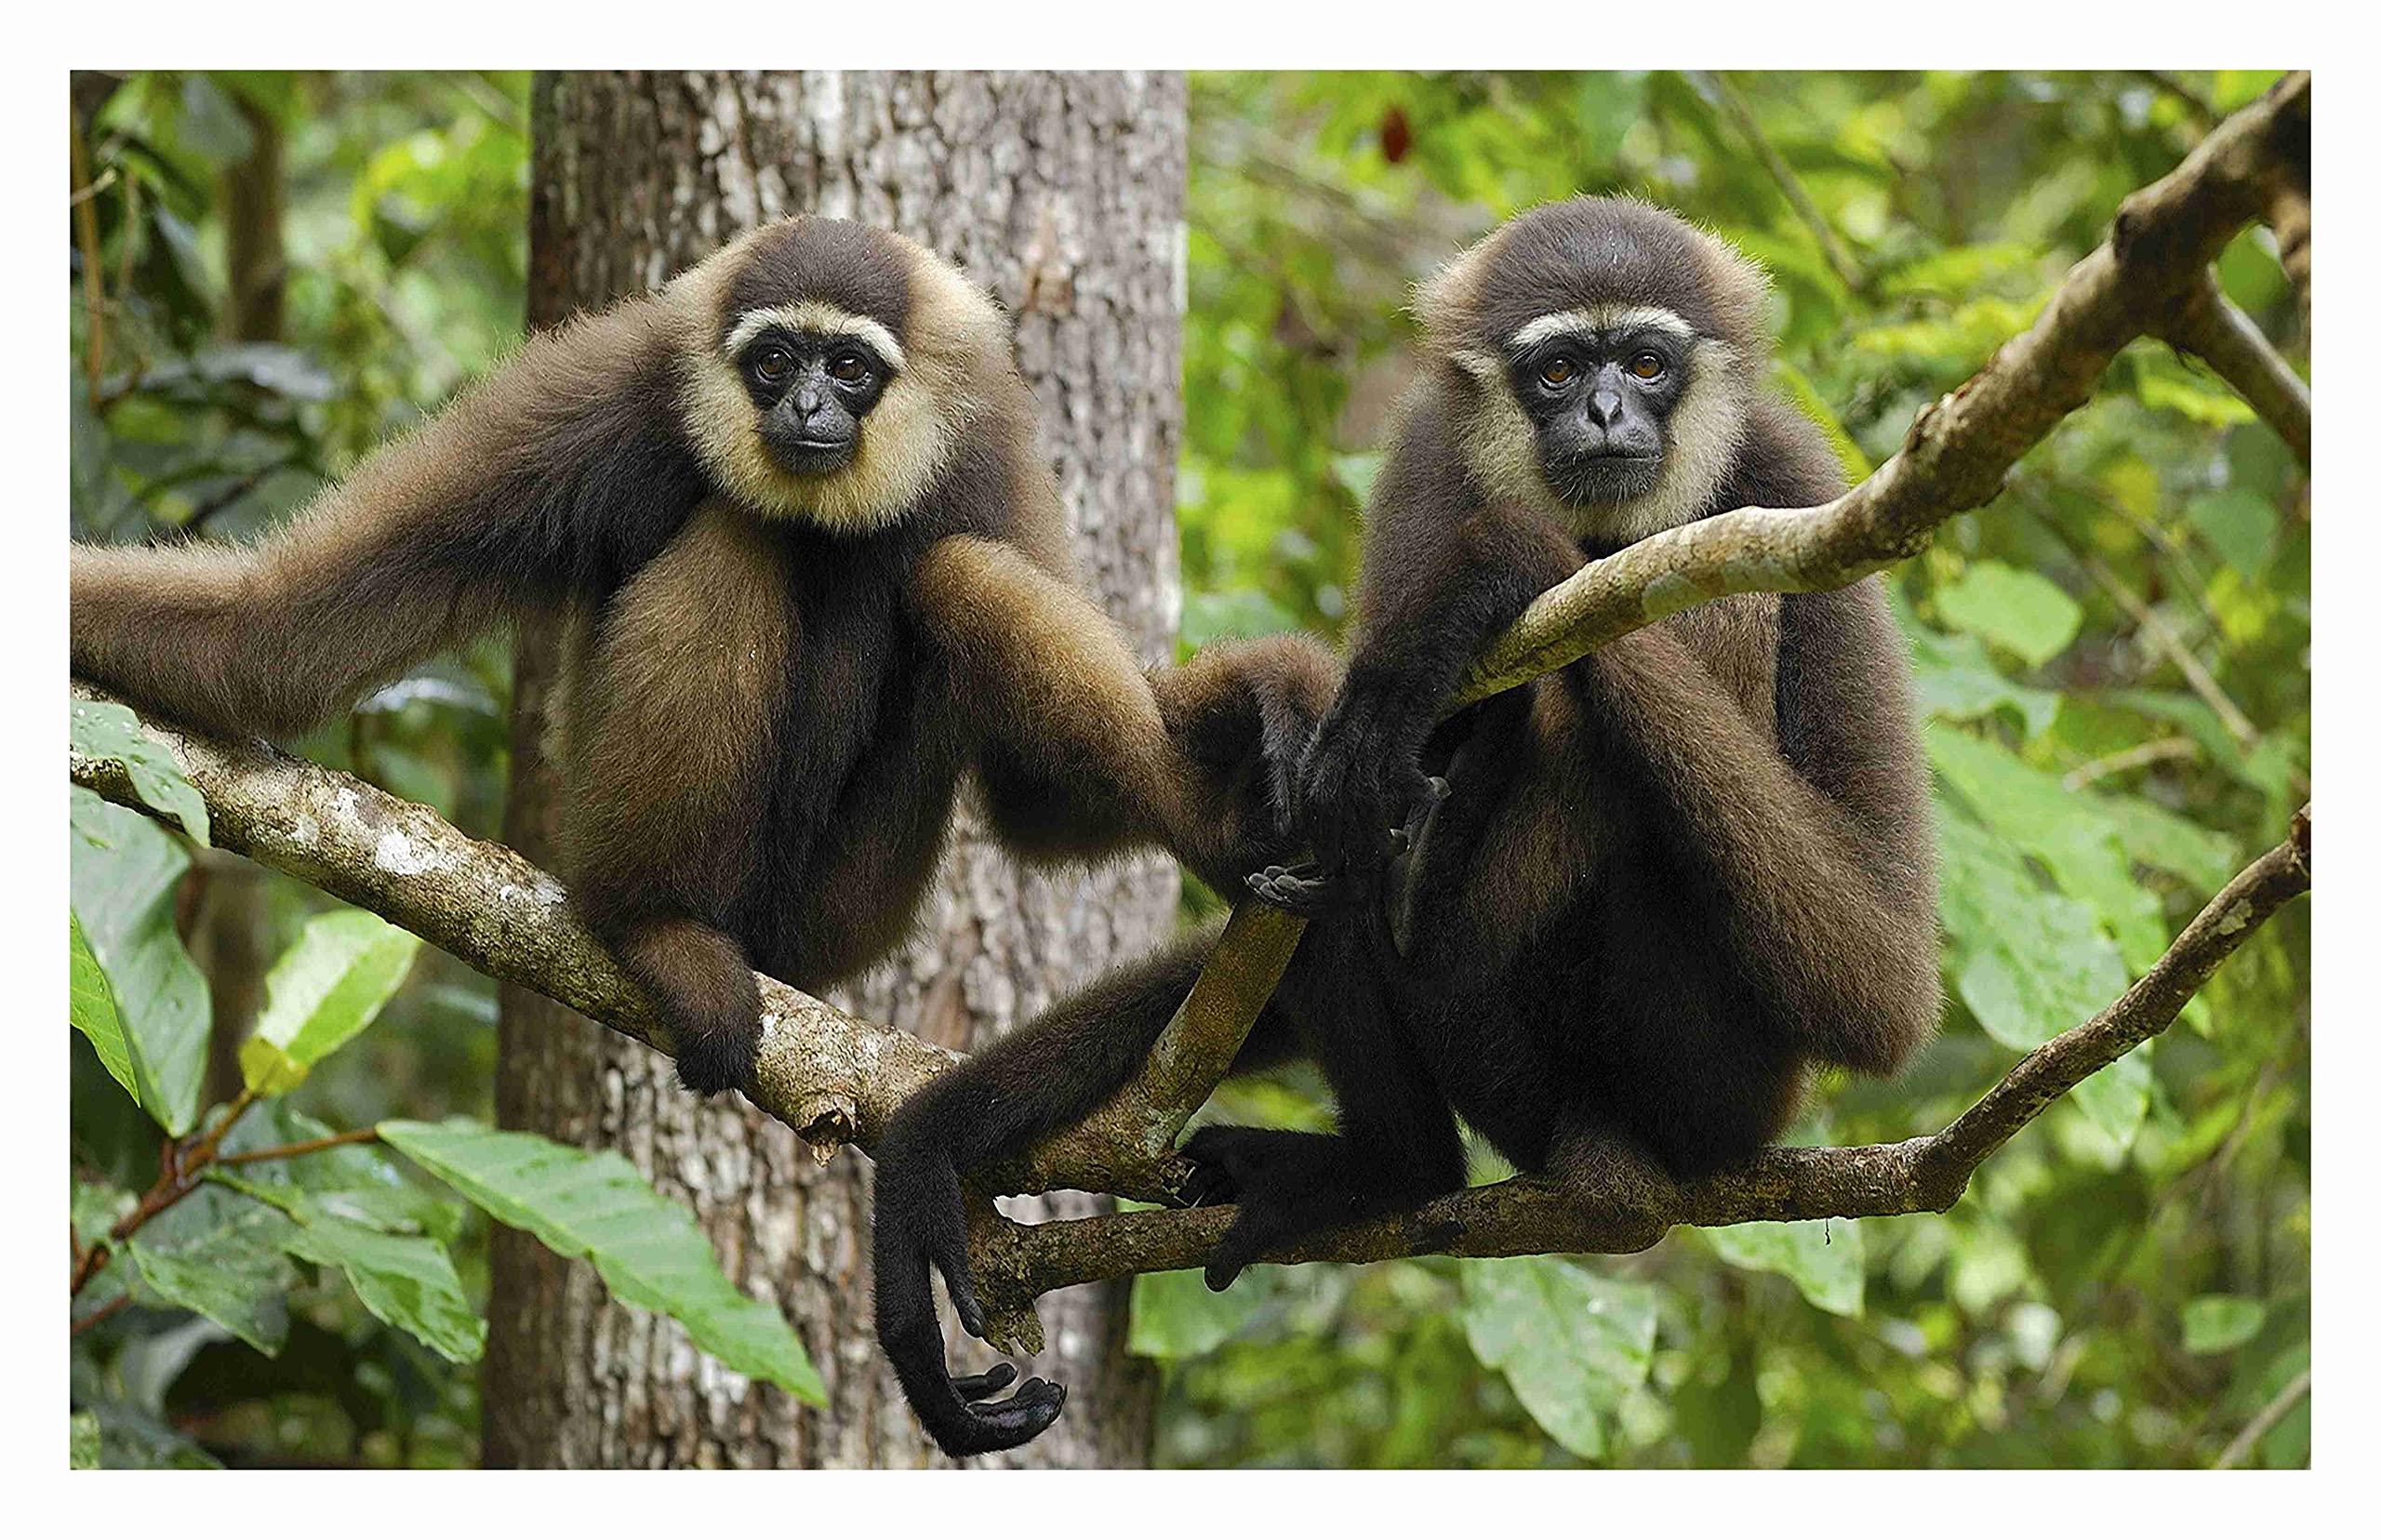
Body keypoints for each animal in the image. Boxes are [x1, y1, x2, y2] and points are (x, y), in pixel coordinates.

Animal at [870, 195, 1939, 1456]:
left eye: (1645, 363)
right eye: (1558, 369)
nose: (1606, 412)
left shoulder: (1796, 475)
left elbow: (1877, 983)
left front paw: (1495, 572)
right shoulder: (1430, 456)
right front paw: (933, 1142)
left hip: (1719, 1084)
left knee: (1695, 636)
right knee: (1350, 858)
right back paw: (1395, 1161)